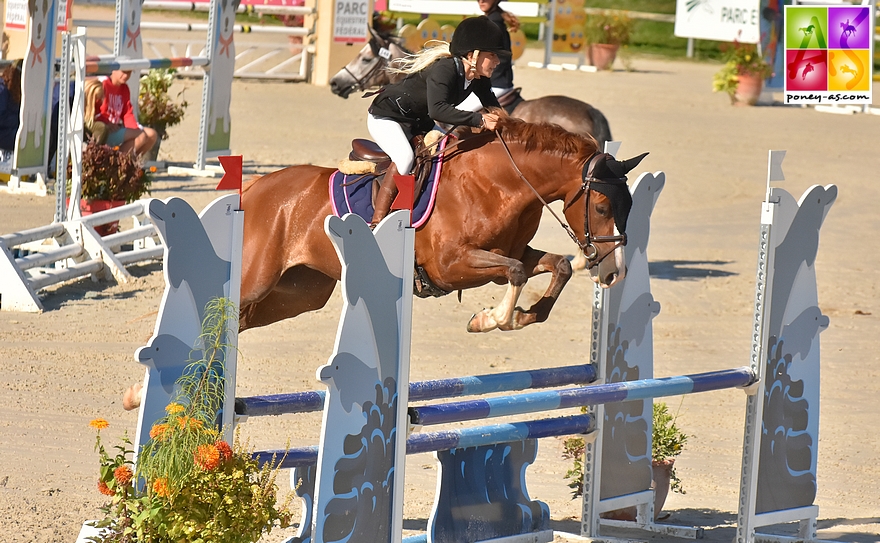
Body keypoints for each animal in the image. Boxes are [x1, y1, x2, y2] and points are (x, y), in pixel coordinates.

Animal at [239, 117, 648, 334]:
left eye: (630, 205)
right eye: (601, 206)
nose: (614, 274)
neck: (498, 182)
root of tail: (257, 187)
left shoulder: (509, 253)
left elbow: (556, 265)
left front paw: (521, 317)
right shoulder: (450, 266)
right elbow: (516, 272)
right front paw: (489, 319)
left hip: (302, 292)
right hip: (257, 280)